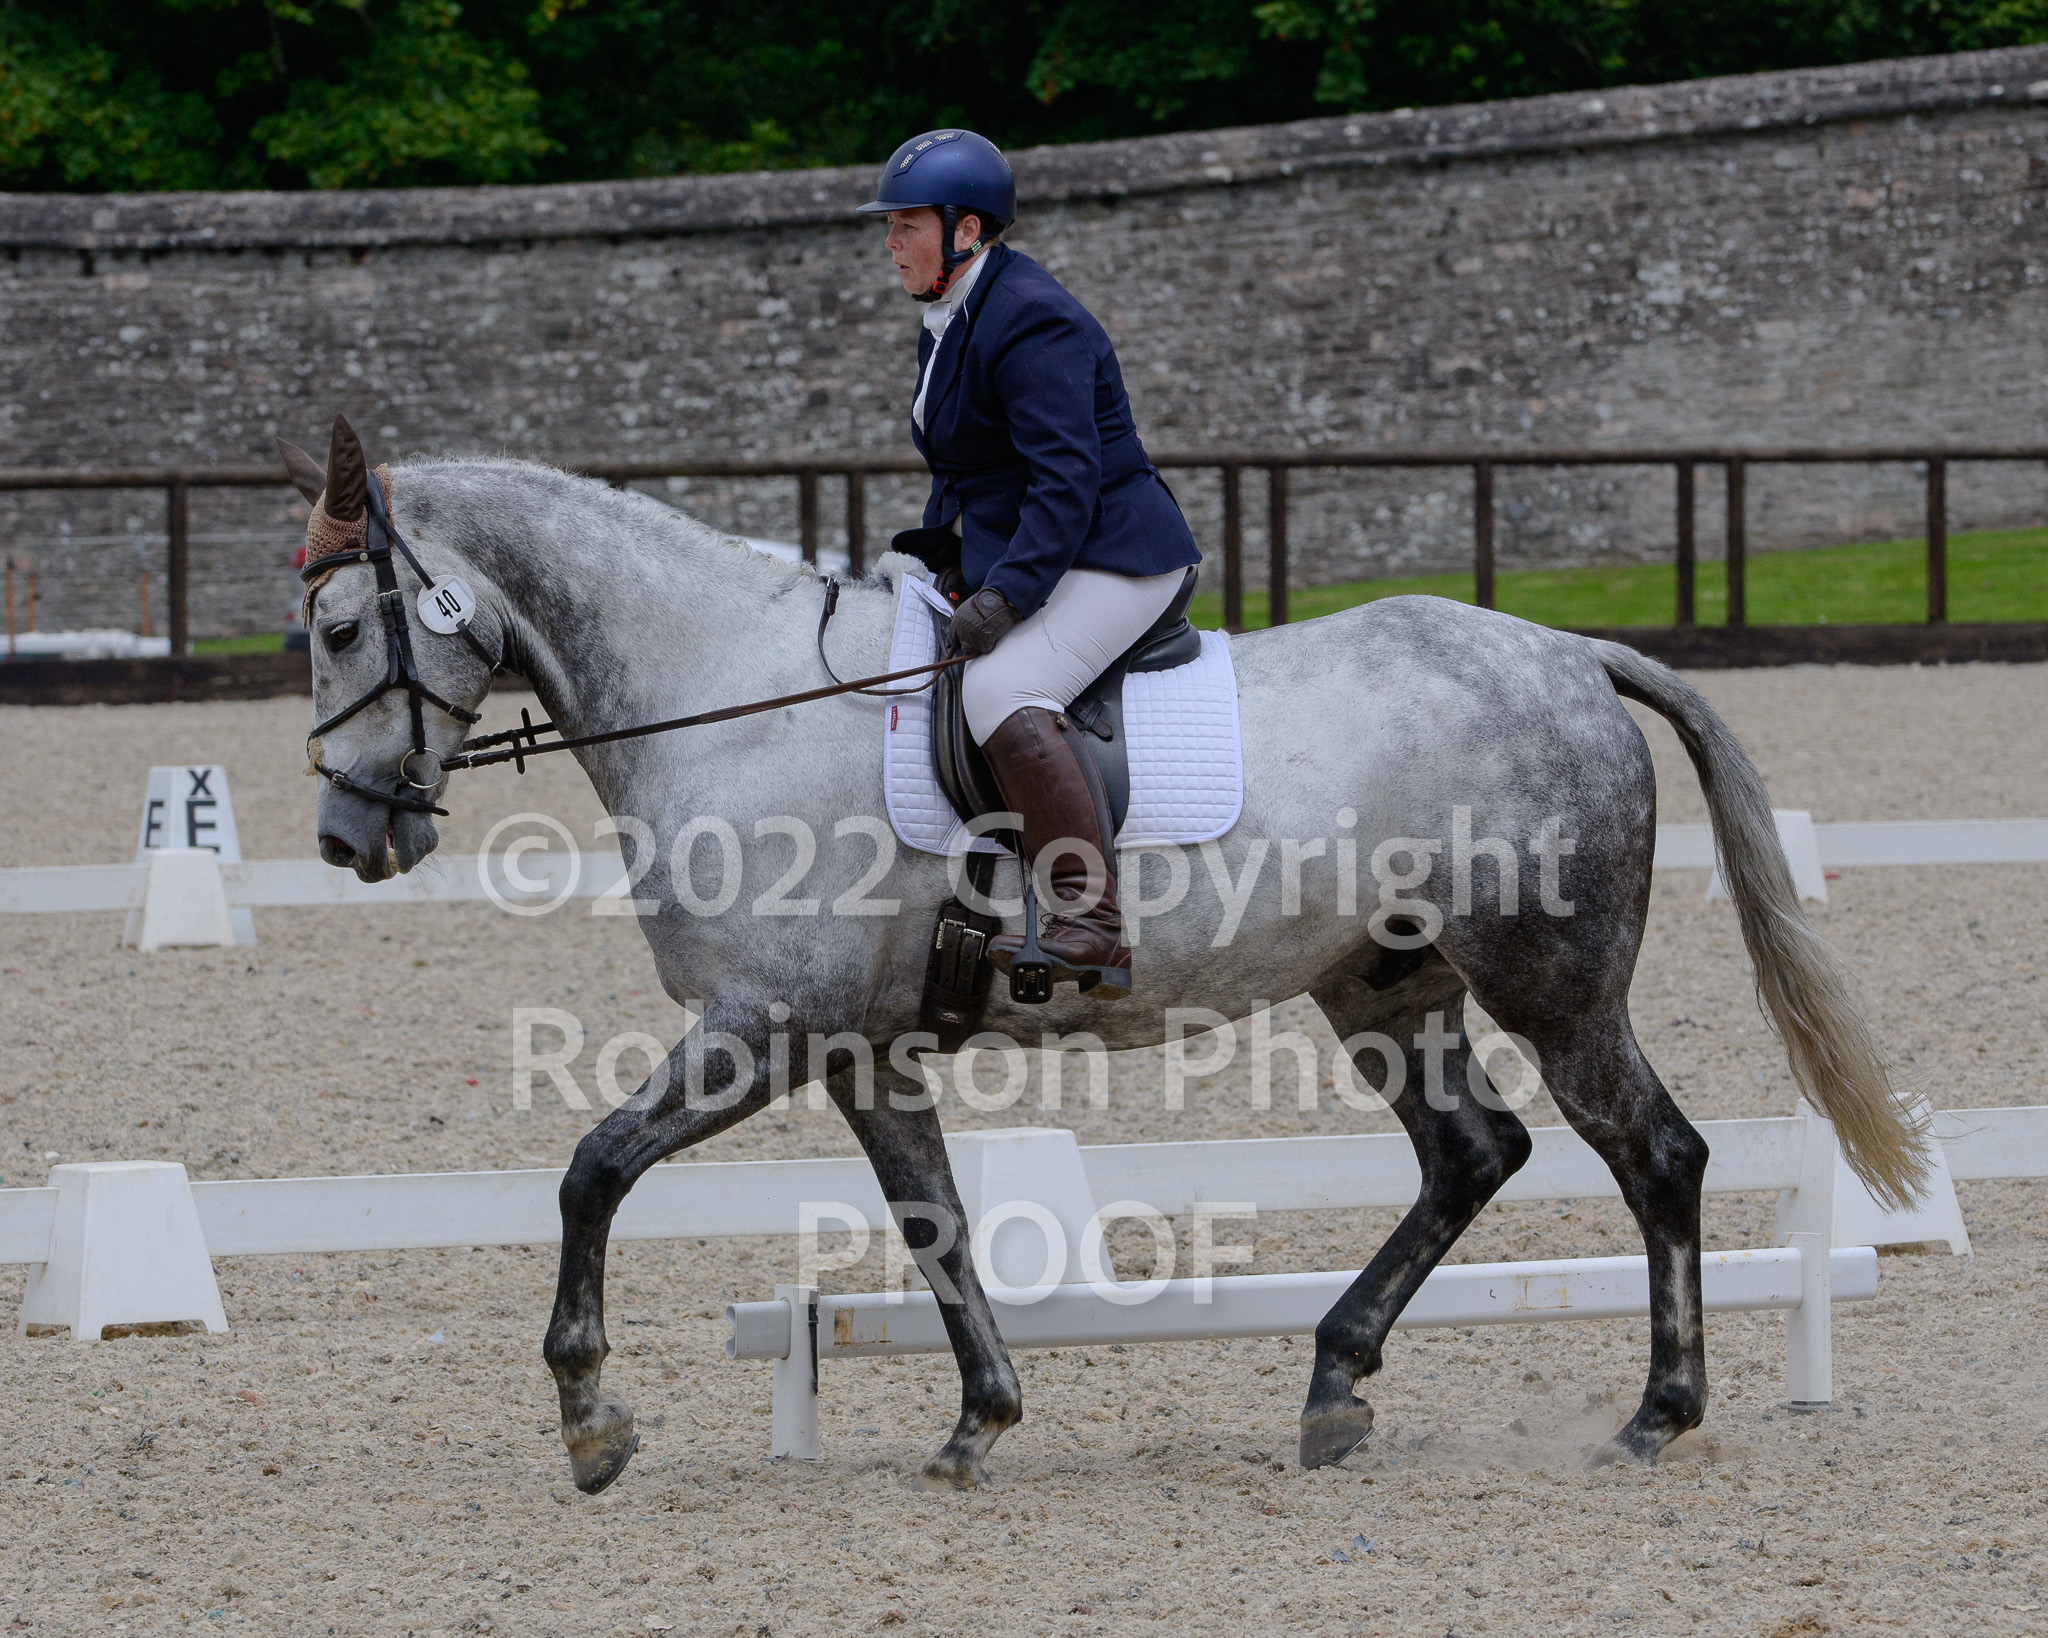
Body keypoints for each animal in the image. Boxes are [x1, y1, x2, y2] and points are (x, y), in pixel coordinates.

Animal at [281, 417, 1924, 1495]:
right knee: (1474, 1151)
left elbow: (590, 1170)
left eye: (346, 624)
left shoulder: (763, 1025)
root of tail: (1572, 652)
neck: (728, 703)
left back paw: (1658, 1411)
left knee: (1653, 1153)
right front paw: (980, 1420)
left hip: (1551, 979)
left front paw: (589, 1419)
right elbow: (934, 1225)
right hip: (1382, 984)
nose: (348, 836)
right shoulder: (858, 1050)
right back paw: (1334, 1386)